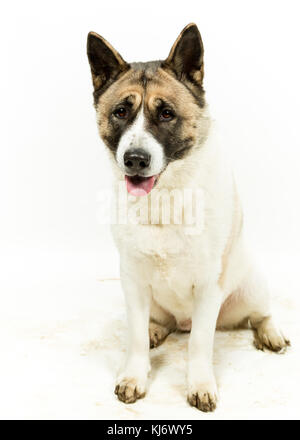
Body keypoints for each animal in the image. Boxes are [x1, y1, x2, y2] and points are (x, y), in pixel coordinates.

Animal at [86, 22, 288, 410]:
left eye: (166, 113)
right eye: (121, 112)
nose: (135, 160)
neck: (164, 198)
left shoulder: (209, 286)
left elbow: (199, 344)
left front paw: (200, 384)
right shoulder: (133, 280)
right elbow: (134, 337)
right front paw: (135, 374)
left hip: (250, 287)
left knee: (260, 314)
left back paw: (271, 333)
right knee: (157, 324)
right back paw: (156, 330)